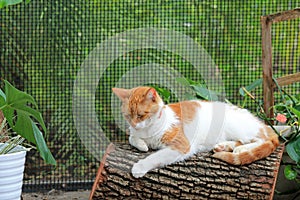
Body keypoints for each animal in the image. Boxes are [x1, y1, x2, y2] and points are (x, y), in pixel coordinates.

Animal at [112, 86, 278, 177]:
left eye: (141, 115)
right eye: (127, 116)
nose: (134, 124)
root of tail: (262, 123)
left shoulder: (181, 146)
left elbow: (155, 157)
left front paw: (140, 167)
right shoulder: (134, 133)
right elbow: (132, 138)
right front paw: (142, 145)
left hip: (238, 127)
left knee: (262, 140)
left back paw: (242, 148)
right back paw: (224, 146)